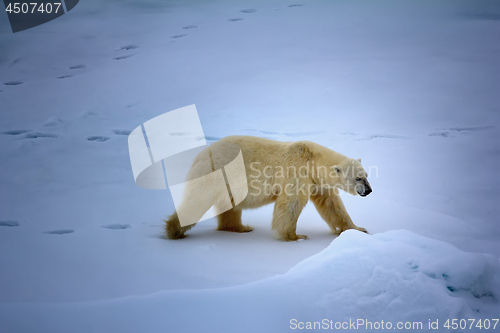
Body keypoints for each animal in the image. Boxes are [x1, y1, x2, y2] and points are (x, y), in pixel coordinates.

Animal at [166, 135, 374, 241]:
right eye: (358, 178)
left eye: (367, 176)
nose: (369, 191)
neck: (312, 159)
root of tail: (199, 155)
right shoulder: (297, 172)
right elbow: (291, 204)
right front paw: (295, 236)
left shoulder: (318, 182)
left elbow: (333, 207)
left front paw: (358, 229)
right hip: (217, 173)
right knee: (198, 199)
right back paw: (174, 231)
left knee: (231, 206)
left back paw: (240, 228)